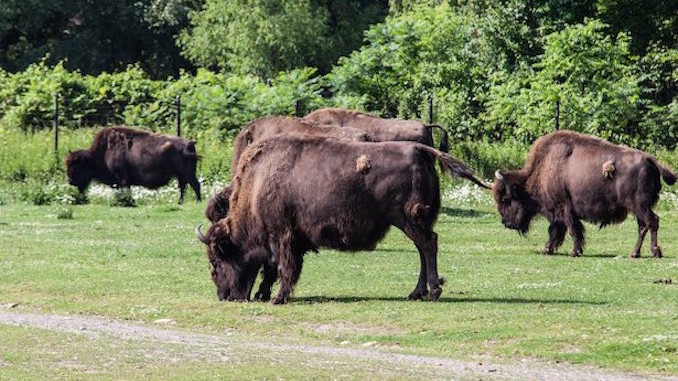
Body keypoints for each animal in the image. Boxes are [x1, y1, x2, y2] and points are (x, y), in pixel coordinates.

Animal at [66, 125, 202, 203]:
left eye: (77, 165)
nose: (69, 180)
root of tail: (190, 143)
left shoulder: (122, 178)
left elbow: (125, 190)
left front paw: (129, 201)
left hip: (187, 174)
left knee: (195, 185)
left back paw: (197, 201)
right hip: (181, 175)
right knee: (183, 187)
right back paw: (180, 202)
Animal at [197, 135, 488, 304]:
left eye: (216, 260)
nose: (224, 297)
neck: (257, 184)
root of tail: (420, 148)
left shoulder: (281, 236)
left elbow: (283, 267)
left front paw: (277, 298)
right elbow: (273, 268)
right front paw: (264, 293)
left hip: (409, 220)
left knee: (428, 245)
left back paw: (432, 292)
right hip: (411, 222)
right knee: (423, 249)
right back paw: (417, 293)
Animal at [494, 129, 678, 256]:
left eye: (506, 199)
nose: (506, 223)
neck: (543, 168)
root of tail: (650, 159)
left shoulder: (563, 207)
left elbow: (570, 229)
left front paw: (574, 252)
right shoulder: (561, 212)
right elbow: (558, 230)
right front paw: (548, 249)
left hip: (639, 205)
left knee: (652, 221)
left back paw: (655, 251)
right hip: (637, 208)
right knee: (643, 226)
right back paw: (635, 253)